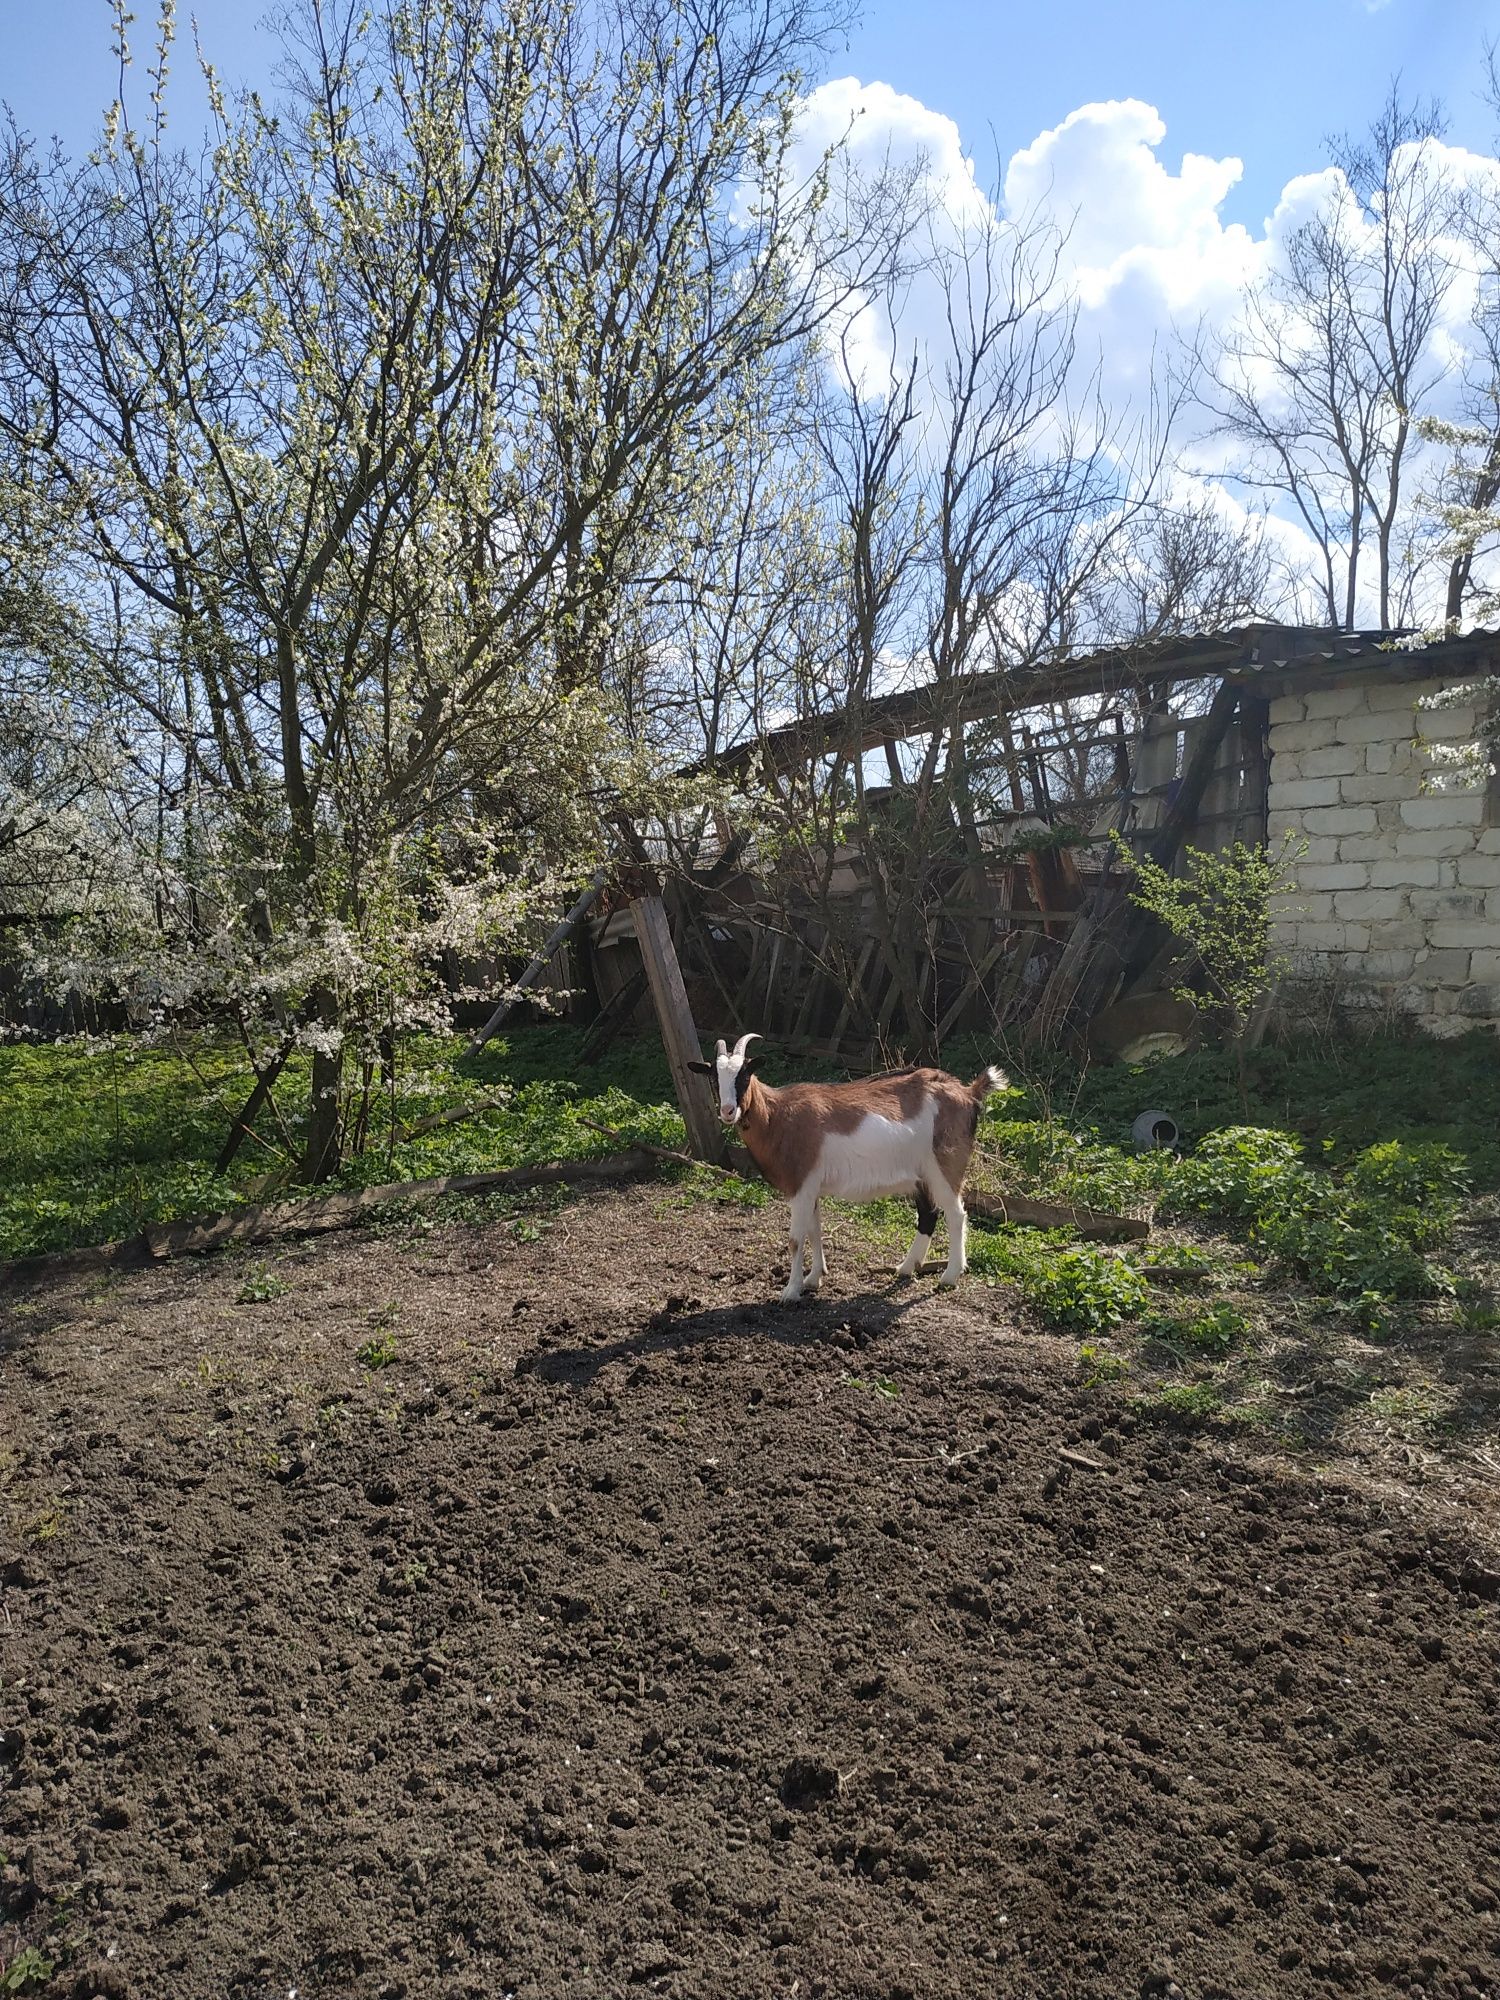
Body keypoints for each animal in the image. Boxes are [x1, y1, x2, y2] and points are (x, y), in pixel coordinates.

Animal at [692, 1040, 1012, 1304]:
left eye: (744, 1075)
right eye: (713, 1077)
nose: (728, 1111)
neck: (778, 1116)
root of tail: (968, 1092)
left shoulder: (801, 1186)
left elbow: (796, 1239)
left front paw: (790, 1291)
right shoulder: (812, 1187)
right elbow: (815, 1230)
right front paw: (814, 1278)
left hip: (945, 1165)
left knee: (956, 1215)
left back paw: (949, 1277)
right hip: (921, 1174)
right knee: (928, 1215)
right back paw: (906, 1268)